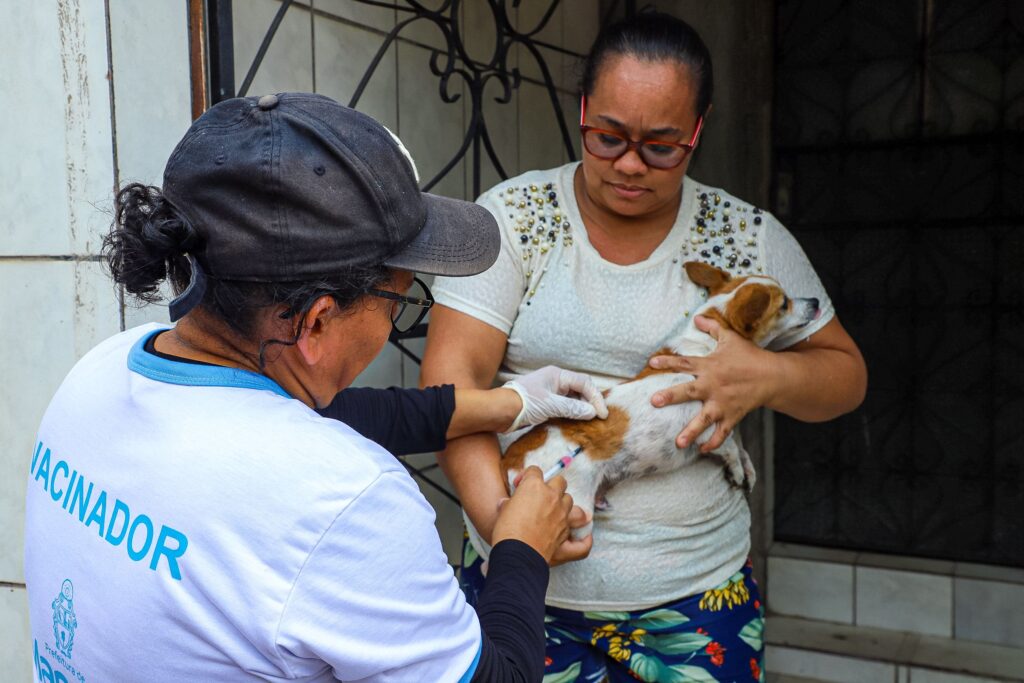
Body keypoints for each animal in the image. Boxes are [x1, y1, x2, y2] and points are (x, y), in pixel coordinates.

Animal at [503, 262, 823, 540]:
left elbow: (737, 444)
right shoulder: (704, 427)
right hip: (575, 506)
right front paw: (735, 467)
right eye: (784, 304)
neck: (706, 348)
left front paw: (747, 468)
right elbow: (730, 447)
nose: (816, 300)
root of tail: (510, 459)